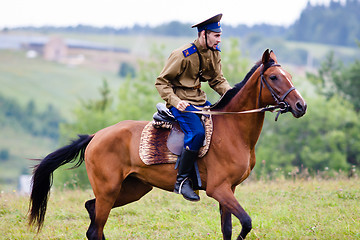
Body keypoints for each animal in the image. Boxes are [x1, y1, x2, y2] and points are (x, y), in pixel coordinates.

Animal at [29, 49, 308, 239]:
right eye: (274, 77)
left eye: (289, 75)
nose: (301, 106)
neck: (233, 130)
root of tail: (96, 136)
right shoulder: (219, 189)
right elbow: (246, 222)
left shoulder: (230, 190)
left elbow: (227, 229)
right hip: (109, 190)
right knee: (95, 228)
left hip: (133, 189)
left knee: (91, 211)